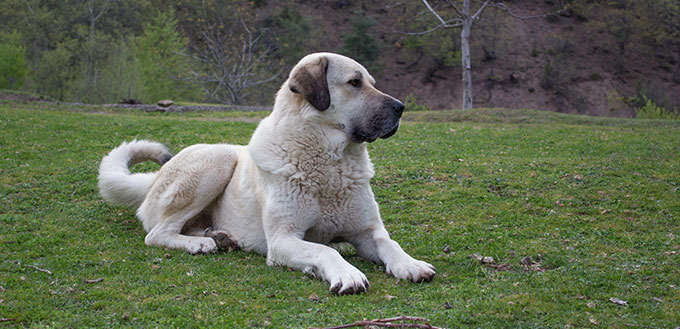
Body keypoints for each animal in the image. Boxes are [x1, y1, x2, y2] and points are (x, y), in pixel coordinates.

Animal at [97, 52, 432, 294]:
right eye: (354, 82)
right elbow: (326, 251)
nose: (401, 107)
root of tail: (155, 178)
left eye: (371, 82)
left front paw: (410, 264)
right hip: (218, 159)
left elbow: (390, 244)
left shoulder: (367, 232)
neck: (330, 165)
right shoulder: (284, 239)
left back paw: (218, 237)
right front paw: (348, 274)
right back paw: (200, 244)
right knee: (157, 233)